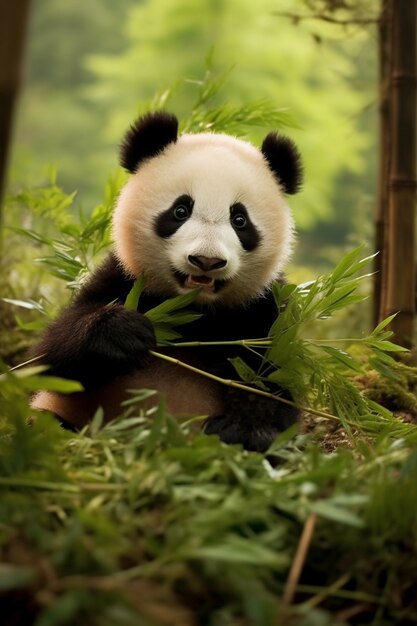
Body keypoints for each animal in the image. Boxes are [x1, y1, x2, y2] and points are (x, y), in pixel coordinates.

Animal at [30, 112, 302, 450]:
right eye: (180, 210)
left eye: (240, 220)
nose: (206, 261)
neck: (191, 311)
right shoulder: (123, 279)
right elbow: (50, 357)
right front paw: (124, 334)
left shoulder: (263, 310)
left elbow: (274, 384)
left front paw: (243, 430)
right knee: (44, 423)